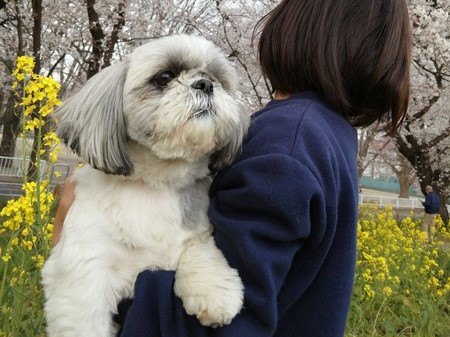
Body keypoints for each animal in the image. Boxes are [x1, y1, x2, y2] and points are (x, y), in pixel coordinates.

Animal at [42, 34, 248, 336]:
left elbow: (200, 249)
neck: (155, 182)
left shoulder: (195, 232)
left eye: (217, 79)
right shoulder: (88, 269)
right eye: (165, 77)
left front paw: (214, 291)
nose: (205, 84)